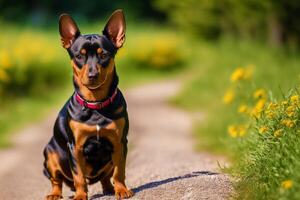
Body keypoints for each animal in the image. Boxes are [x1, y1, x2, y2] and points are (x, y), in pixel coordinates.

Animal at [42, 9, 133, 200]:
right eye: (79, 56)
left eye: (104, 55)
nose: (92, 75)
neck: (96, 103)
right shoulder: (75, 147)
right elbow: (79, 176)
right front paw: (80, 195)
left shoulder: (120, 142)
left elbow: (119, 171)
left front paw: (121, 190)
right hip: (50, 153)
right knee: (57, 180)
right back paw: (55, 193)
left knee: (106, 177)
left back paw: (110, 188)